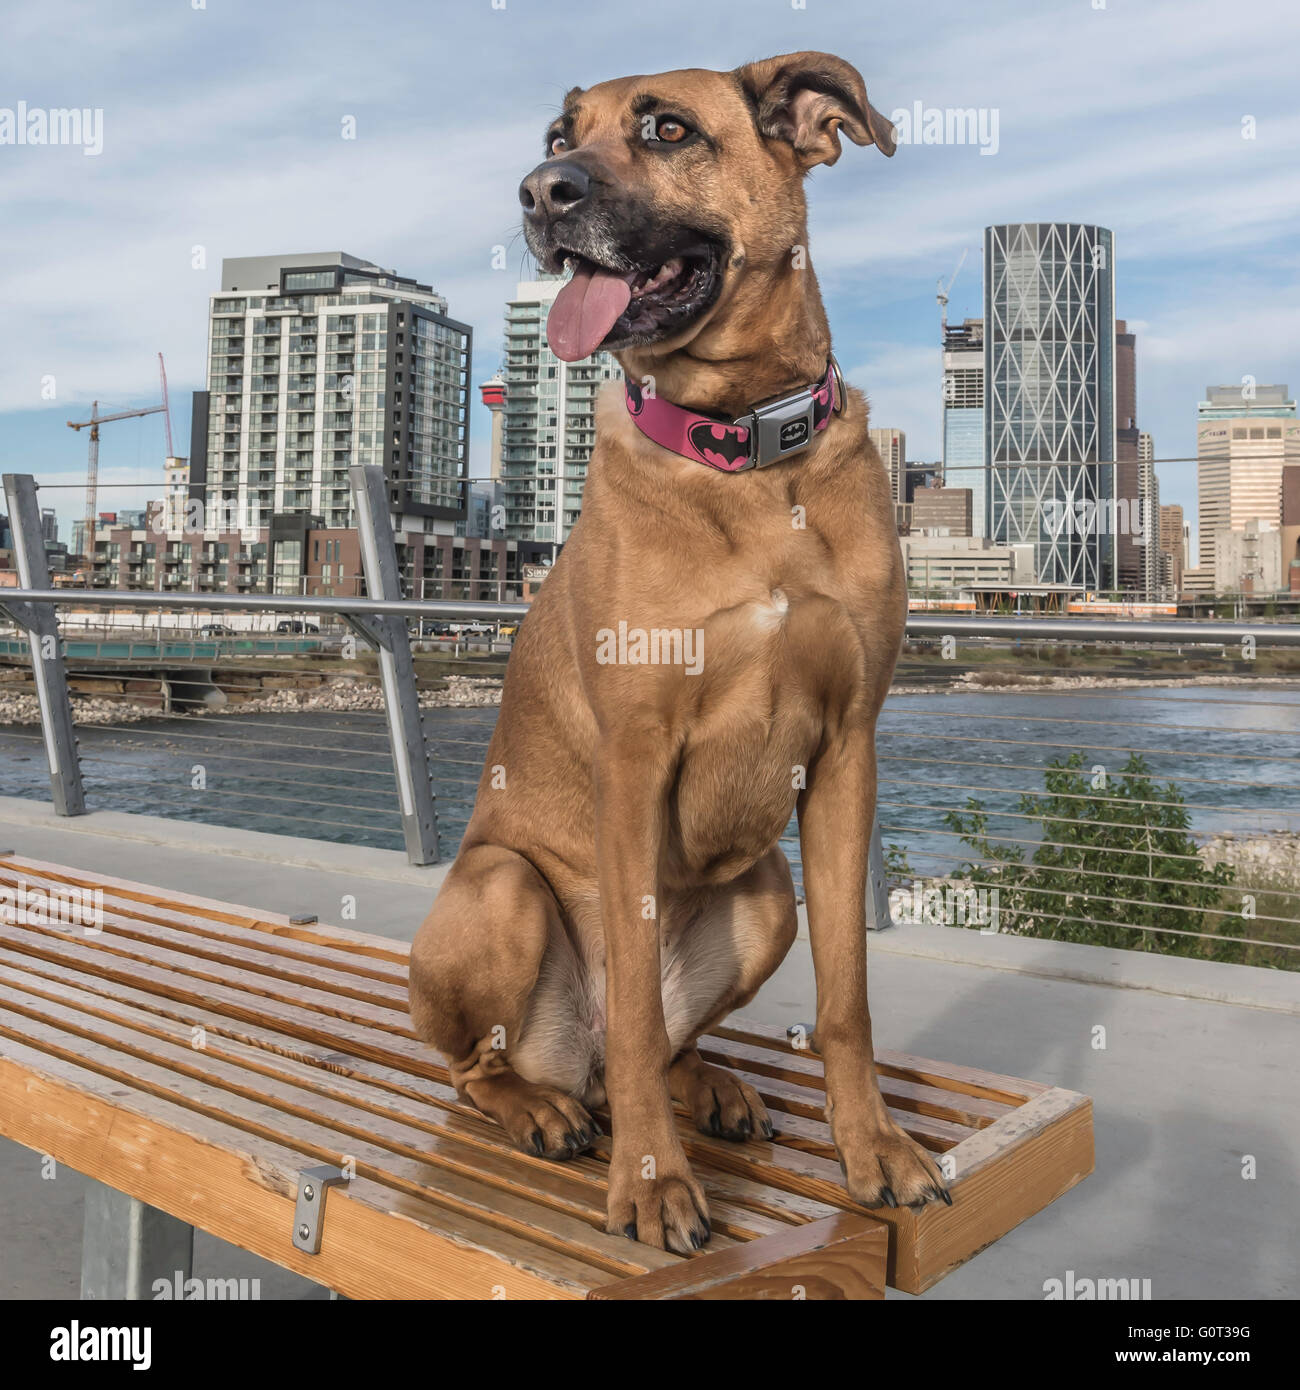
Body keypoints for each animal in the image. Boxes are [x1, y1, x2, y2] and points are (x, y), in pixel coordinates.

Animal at [411, 48, 951, 1256]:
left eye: (667, 129)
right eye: (558, 133)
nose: (539, 190)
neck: (745, 458)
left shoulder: (847, 753)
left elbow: (846, 1000)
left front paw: (873, 1148)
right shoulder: (634, 757)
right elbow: (628, 989)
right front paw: (655, 1183)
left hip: (766, 894)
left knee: (656, 1043)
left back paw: (706, 1084)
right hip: (502, 890)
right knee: (496, 1064)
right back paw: (546, 1110)